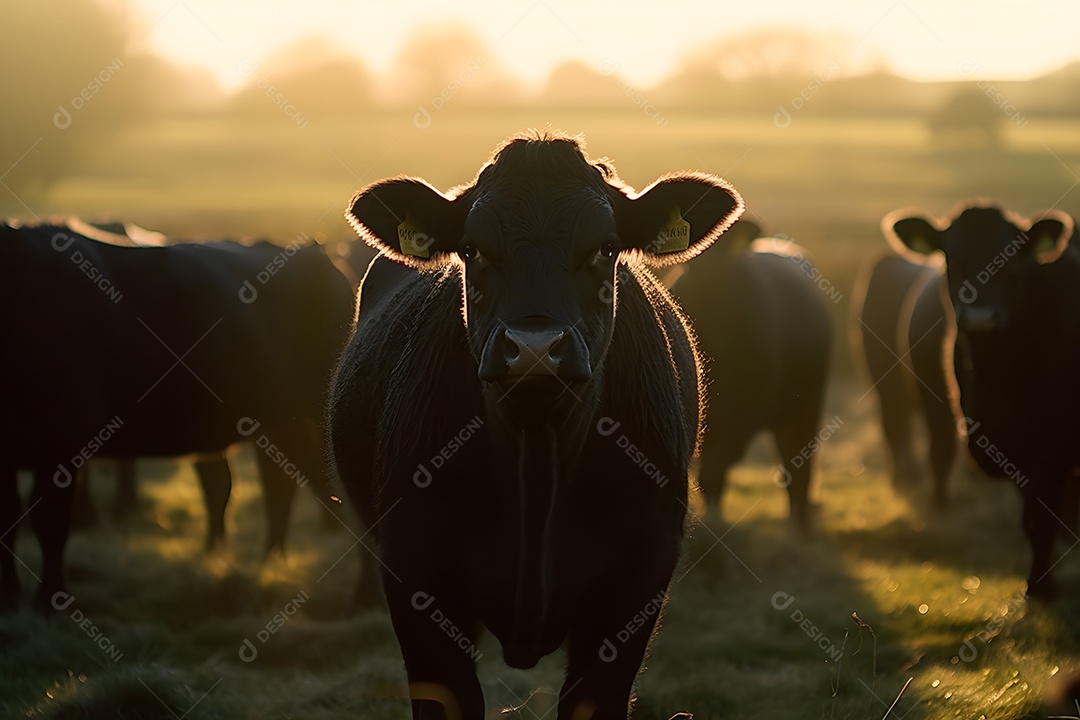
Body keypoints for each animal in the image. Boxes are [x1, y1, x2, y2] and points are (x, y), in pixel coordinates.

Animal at [1, 225, 354, 608]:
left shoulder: (61, 444)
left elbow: (49, 525)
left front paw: (49, 601)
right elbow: (8, 517)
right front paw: (11, 597)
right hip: (278, 422)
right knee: (277, 485)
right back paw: (266, 560)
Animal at [328, 131, 747, 720]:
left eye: (606, 248)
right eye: (472, 249)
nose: (533, 348)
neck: (537, 451)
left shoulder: (638, 585)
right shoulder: (415, 575)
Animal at [665, 221, 833, 535]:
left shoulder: (739, 419)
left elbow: (713, 473)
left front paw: (715, 523)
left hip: (806, 408)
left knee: (798, 469)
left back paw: (800, 531)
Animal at [885, 201, 1080, 595]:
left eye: (1013, 266)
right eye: (952, 262)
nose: (979, 319)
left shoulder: (1055, 445)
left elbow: (1041, 515)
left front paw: (1042, 588)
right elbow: (1032, 519)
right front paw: (1039, 581)